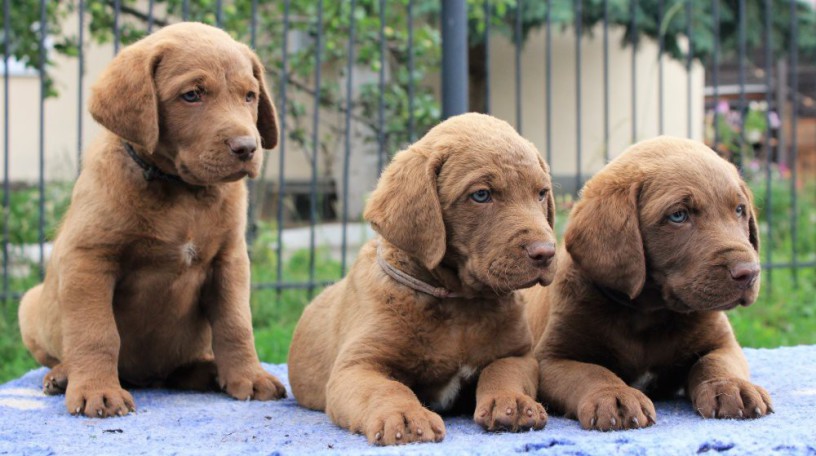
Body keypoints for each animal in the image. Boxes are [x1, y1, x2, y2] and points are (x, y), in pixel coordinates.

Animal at [286, 113, 556, 446]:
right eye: (481, 195)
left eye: (541, 193)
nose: (546, 253)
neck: (460, 305)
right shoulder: (357, 365)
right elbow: (387, 387)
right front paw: (404, 416)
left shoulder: (519, 355)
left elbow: (503, 371)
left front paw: (512, 402)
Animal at [524, 135, 776, 432]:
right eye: (678, 215)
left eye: (739, 210)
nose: (749, 272)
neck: (648, 314)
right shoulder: (550, 359)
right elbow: (591, 372)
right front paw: (615, 397)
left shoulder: (723, 343)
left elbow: (716, 362)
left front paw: (732, 386)